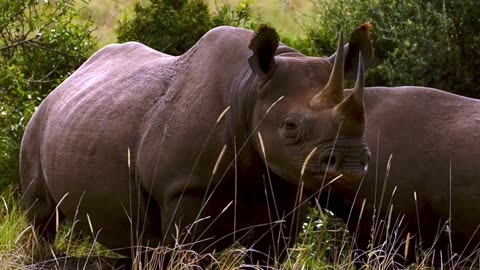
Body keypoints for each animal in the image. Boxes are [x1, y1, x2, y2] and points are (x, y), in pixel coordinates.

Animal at [18, 23, 372, 266]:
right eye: (290, 127)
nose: (352, 164)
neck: (250, 90)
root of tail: (64, 82)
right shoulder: (185, 185)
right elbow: (190, 251)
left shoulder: (285, 191)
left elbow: (267, 255)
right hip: (37, 123)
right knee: (41, 217)